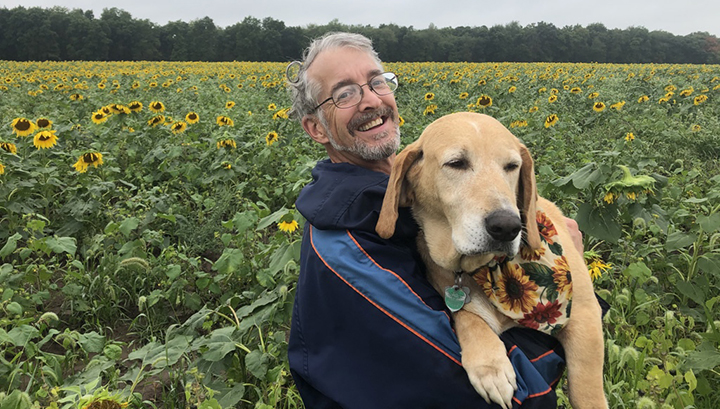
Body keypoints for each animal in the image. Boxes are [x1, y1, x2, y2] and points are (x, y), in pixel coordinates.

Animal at [376, 112, 608, 408]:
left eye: (512, 166)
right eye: (456, 163)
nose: (507, 227)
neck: (490, 269)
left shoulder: (584, 314)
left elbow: (586, 391)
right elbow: (468, 318)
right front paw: (490, 366)